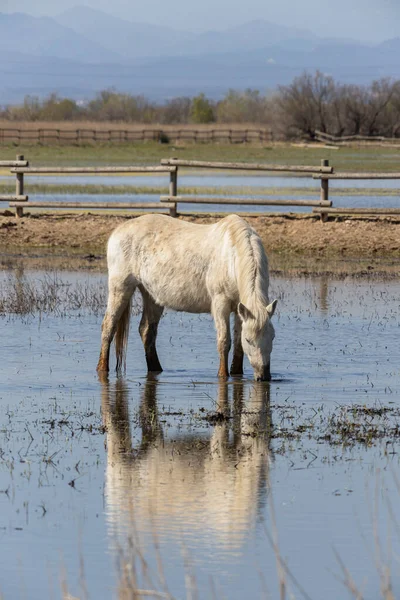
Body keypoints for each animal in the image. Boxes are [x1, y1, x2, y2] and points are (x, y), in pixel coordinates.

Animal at [98, 213, 276, 378]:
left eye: (273, 337)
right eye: (249, 340)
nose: (264, 376)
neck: (231, 257)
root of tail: (118, 231)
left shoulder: (241, 309)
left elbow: (238, 345)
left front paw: (237, 373)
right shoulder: (221, 305)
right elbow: (224, 341)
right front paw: (223, 375)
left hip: (151, 295)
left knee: (146, 331)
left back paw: (156, 369)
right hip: (121, 287)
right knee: (109, 327)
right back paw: (102, 368)